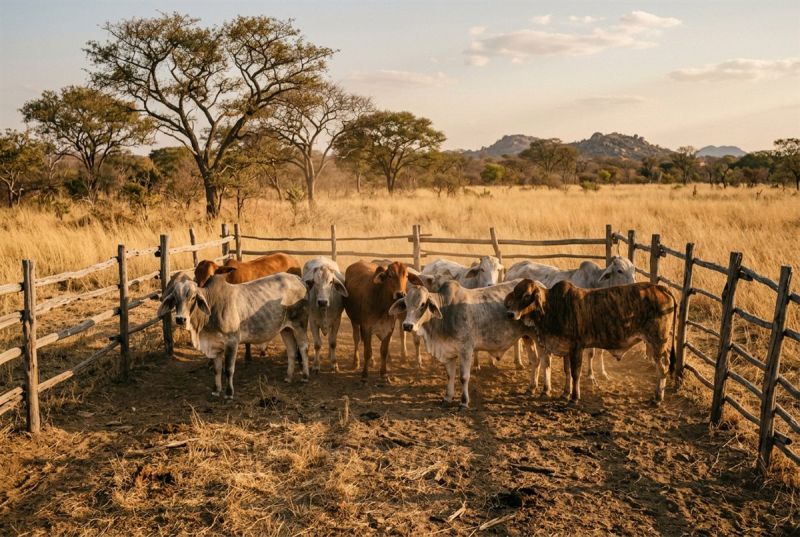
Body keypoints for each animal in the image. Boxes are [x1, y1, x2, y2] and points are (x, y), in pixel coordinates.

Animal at [158, 271, 309, 398]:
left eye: (193, 297)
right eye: (174, 298)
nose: (180, 319)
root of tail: (298, 278)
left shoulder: (232, 342)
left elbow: (229, 369)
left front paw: (229, 393)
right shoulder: (215, 345)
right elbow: (217, 369)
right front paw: (216, 390)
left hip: (299, 325)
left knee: (303, 348)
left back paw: (305, 376)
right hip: (286, 329)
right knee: (291, 351)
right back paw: (288, 377)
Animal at [388, 280, 535, 408]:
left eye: (423, 304)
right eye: (406, 304)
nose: (407, 325)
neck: (446, 311)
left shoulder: (466, 350)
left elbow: (464, 377)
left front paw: (464, 402)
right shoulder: (448, 351)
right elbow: (450, 375)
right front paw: (447, 398)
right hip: (528, 337)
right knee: (535, 359)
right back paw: (532, 388)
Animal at [504, 279, 677, 403]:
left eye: (527, 295)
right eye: (515, 292)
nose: (510, 314)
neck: (553, 307)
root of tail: (659, 287)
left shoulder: (576, 348)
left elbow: (575, 373)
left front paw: (574, 397)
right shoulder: (565, 349)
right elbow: (567, 371)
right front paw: (565, 393)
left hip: (658, 341)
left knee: (663, 367)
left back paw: (658, 398)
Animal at [506, 256, 636, 386]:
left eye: (634, 270)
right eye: (619, 271)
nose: (634, 287)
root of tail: (512, 268)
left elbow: (600, 352)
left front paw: (603, 373)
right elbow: (590, 353)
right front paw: (591, 376)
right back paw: (518, 362)